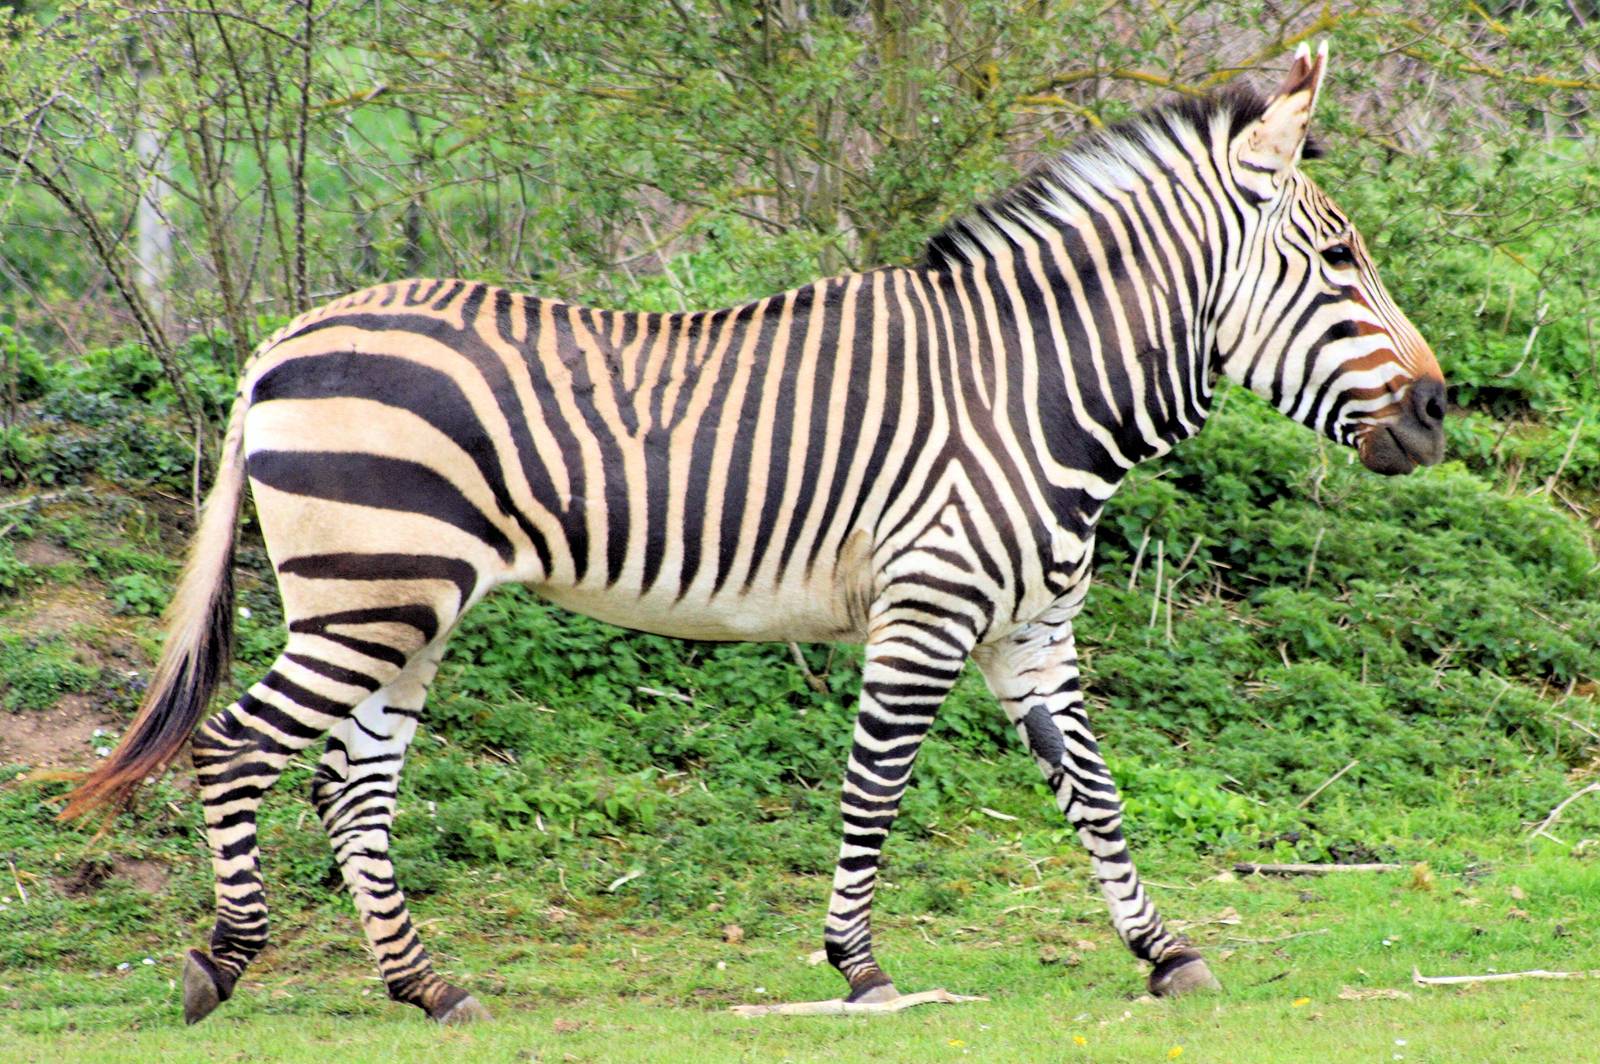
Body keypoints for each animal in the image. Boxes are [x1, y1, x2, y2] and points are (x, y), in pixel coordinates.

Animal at [63, 43, 1445, 1024]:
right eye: (1338, 260)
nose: (1439, 409)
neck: (1036, 389)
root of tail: (278, 344)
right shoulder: (928, 605)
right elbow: (878, 783)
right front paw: (862, 966)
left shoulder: (1032, 629)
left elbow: (1093, 793)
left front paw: (1163, 951)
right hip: (369, 591)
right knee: (236, 747)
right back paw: (223, 961)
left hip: (406, 605)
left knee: (350, 784)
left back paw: (428, 985)